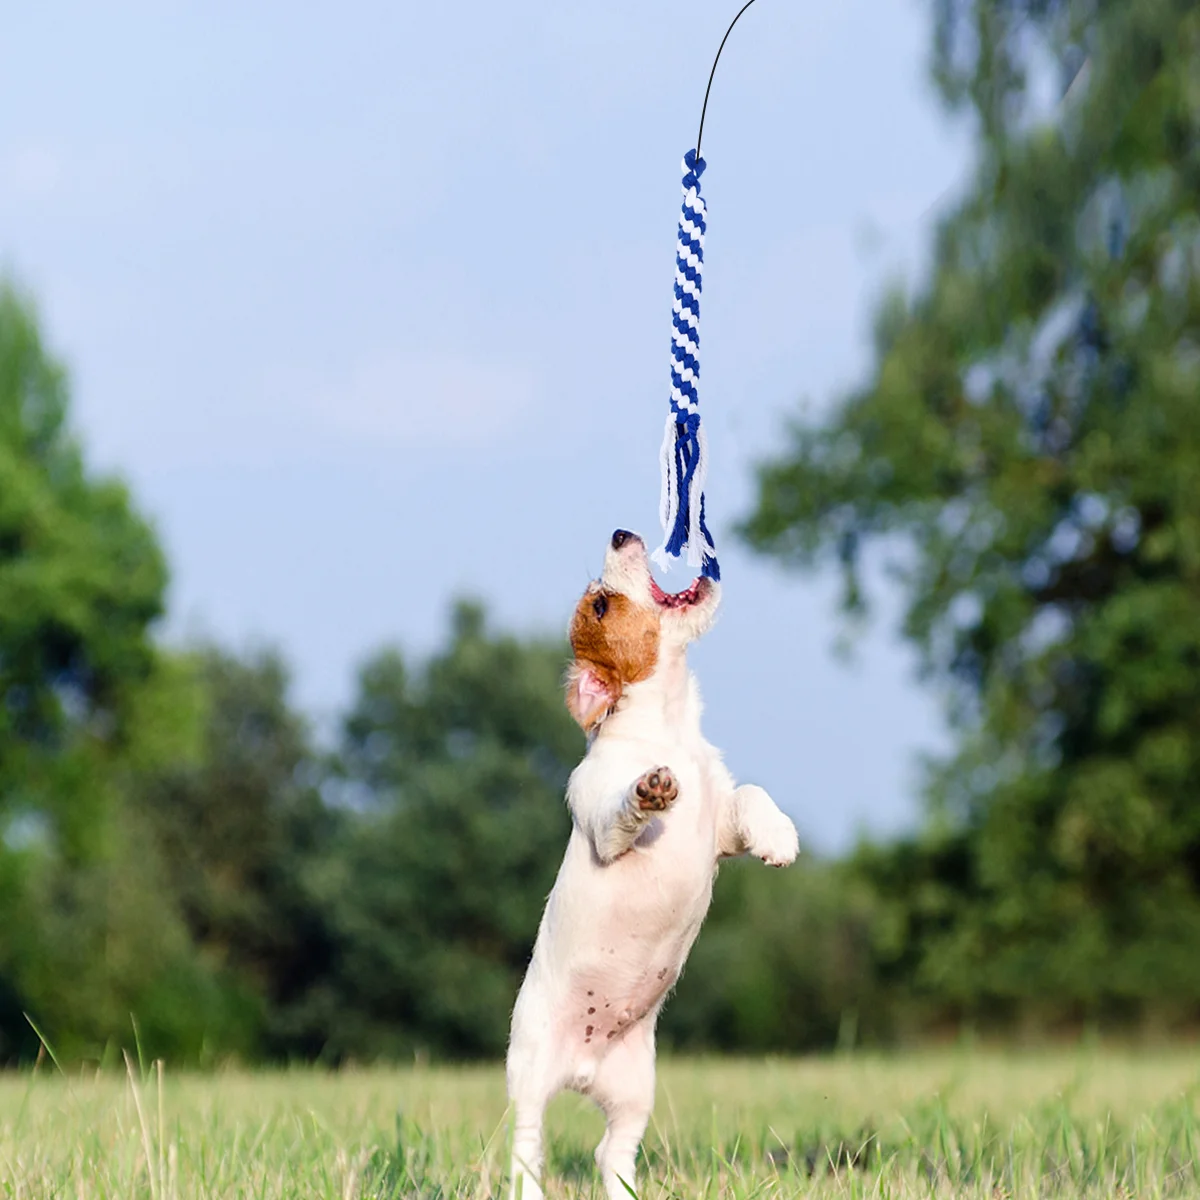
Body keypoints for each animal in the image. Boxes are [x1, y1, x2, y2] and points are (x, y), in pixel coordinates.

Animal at [506, 530, 796, 1195]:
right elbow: (619, 810)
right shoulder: (601, 815)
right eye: (600, 606)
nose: (620, 533)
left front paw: (779, 836)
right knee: (528, 1150)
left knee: (610, 1153)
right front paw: (647, 793)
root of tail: (583, 1068)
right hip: (529, 1073)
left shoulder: (720, 823)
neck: (668, 729)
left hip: (637, 1092)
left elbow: (751, 796)